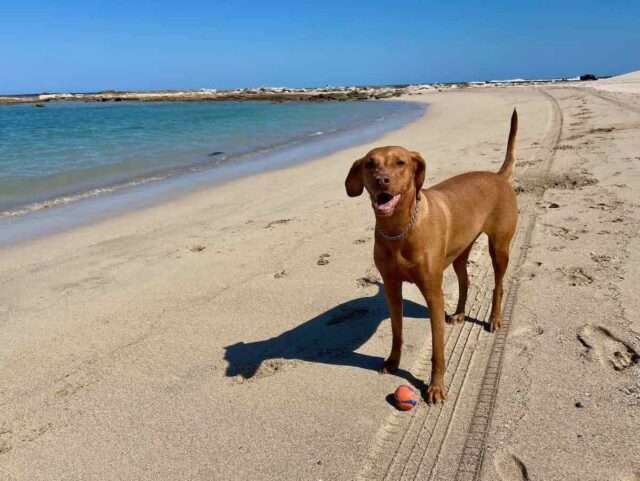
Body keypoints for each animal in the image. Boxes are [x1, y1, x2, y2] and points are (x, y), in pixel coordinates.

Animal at [344, 109, 520, 402]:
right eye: (370, 164)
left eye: (401, 163)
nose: (382, 180)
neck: (399, 230)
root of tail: (498, 176)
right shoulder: (392, 287)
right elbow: (397, 330)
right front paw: (393, 361)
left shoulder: (433, 293)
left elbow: (438, 349)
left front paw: (436, 387)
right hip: (461, 250)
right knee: (464, 279)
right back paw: (459, 313)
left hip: (499, 247)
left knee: (499, 285)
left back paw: (495, 318)